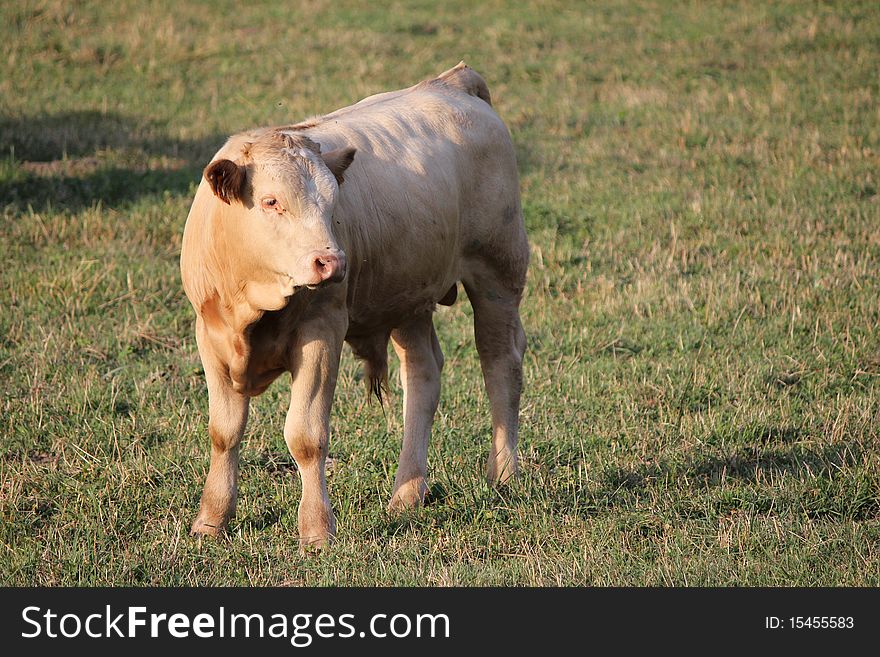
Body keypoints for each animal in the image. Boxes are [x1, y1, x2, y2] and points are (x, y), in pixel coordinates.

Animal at [175, 61, 524, 544]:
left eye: (332, 202)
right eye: (270, 200)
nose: (332, 261)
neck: (252, 297)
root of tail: (453, 82)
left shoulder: (322, 332)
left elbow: (306, 436)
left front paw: (316, 529)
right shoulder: (209, 334)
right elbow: (224, 432)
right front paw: (211, 519)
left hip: (498, 273)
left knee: (500, 364)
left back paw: (503, 473)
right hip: (408, 298)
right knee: (422, 377)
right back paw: (407, 492)